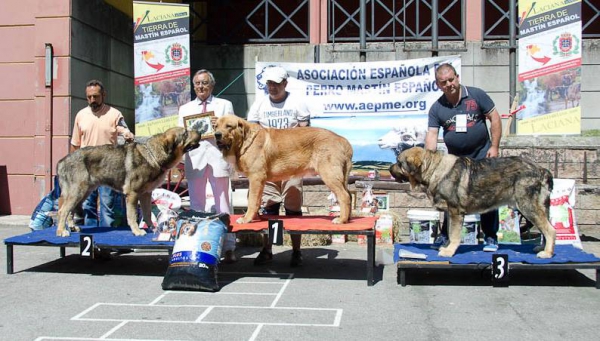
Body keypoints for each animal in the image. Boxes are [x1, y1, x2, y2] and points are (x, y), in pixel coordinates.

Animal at [57, 126, 205, 235]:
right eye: (185, 133)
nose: (200, 131)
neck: (153, 154)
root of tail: (62, 161)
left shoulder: (146, 194)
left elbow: (147, 214)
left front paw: (153, 228)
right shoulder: (132, 194)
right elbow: (132, 215)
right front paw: (137, 231)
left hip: (84, 193)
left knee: (70, 211)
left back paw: (72, 227)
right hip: (78, 192)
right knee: (62, 211)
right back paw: (62, 231)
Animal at [213, 115, 352, 224]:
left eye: (229, 126)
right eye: (215, 126)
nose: (217, 135)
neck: (244, 141)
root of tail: (342, 139)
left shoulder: (255, 178)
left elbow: (252, 201)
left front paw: (246, 219)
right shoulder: (259, 181)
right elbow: (257, 200)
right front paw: (255, 217)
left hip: (329, 175)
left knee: (344, 196)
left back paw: (341, 220)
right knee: (349, 195)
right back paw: (347, 218)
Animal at [392, 147, 556, 258]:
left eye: (399, 163)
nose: (390, 168)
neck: (434, 169)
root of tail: (542, 169)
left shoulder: (455, 211)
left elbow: (454, 234)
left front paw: (449, 251)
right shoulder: (450, 213)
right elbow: (450, 232)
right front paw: (447, 246)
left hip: (528, 207)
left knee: (550, 230)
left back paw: (547, 253)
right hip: (539, 207)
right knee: (546, 227)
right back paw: (543, 248)